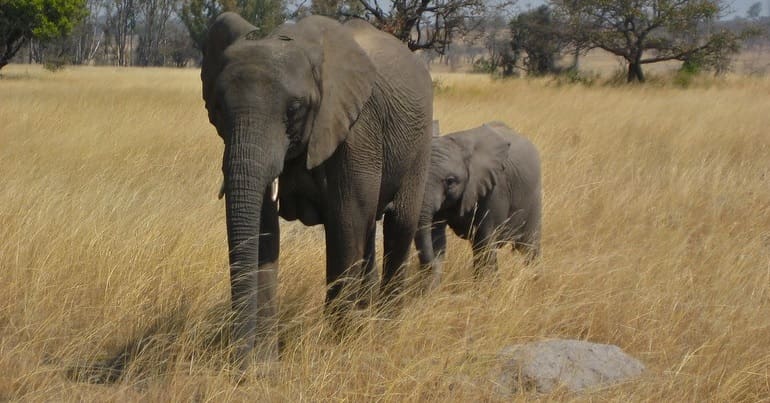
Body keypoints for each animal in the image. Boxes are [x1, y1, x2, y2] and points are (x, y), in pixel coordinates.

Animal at [201, 13, 433, 366]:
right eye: (217, 108)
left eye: (294, 109)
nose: (237, 361)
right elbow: (264, 232)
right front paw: (264, 366)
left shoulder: (357, 129)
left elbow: (345, 224)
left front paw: (338, 350)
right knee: (368, 233)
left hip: (420, 140)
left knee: (398, 223)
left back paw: (386, 327)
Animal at [414, 121, 541, 288]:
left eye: (450, 181)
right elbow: (435, 236)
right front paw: (430, 290)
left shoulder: (495, 188)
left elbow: (485, 240)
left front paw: (487, 290)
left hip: (534, 196)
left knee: (528, 246)